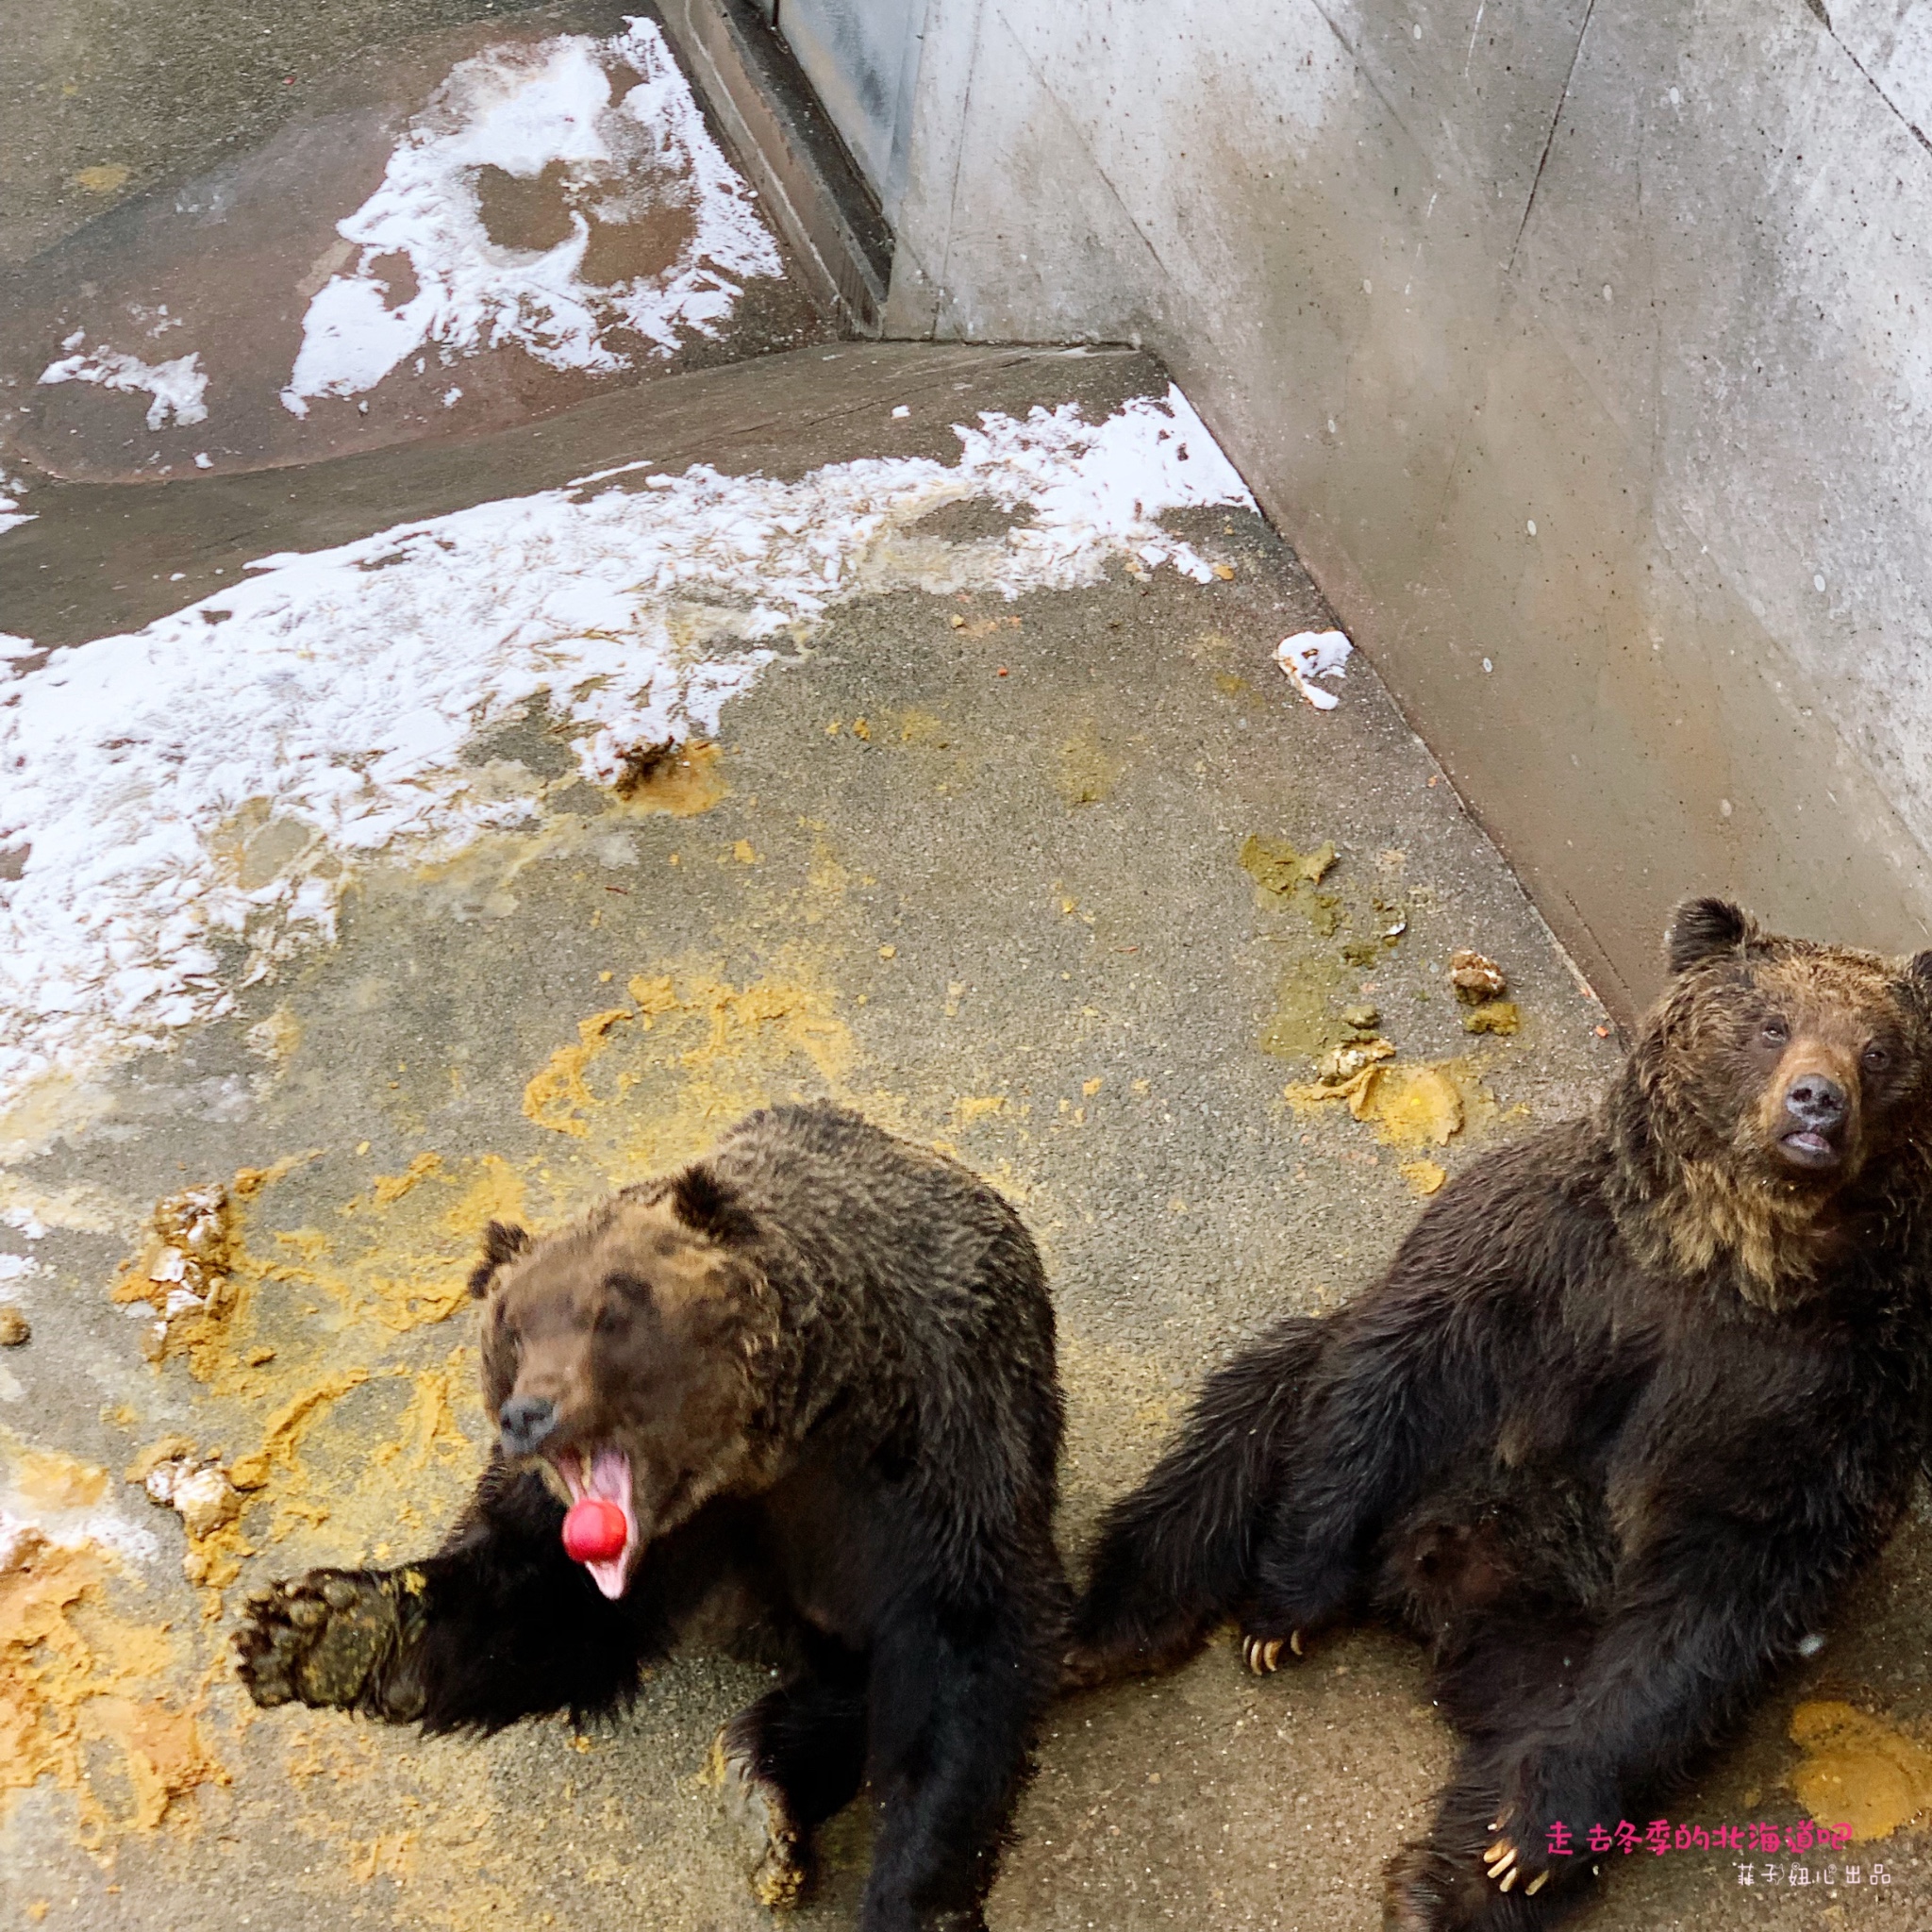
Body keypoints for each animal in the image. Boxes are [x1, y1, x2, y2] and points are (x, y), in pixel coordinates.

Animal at [237, 1105, 1074, 1932]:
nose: (528, 1415)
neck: (757, 1456)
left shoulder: (919, 1462)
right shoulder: (641, 1535)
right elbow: (534, 1609)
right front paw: (318, 1631)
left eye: (609, 1311)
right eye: (510, 1331)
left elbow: (957, 1667)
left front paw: (916, 1895)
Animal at [1066, 904, 1932, 1932]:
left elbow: (1722, 1596)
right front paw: (1282, 1608)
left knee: (1558, 1724)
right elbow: (1394, 1371)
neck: (1721, 1252)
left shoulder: (1812, 1404)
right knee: (1243, 1431)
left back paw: (1461, 1874)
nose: (1815, 1101)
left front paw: (1521, 1837)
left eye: (1879, 1049)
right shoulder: (1539, 1250)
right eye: (1770, 1023)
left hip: (1558, 1632)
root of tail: (1430, 1596)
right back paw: (1106, 1628)